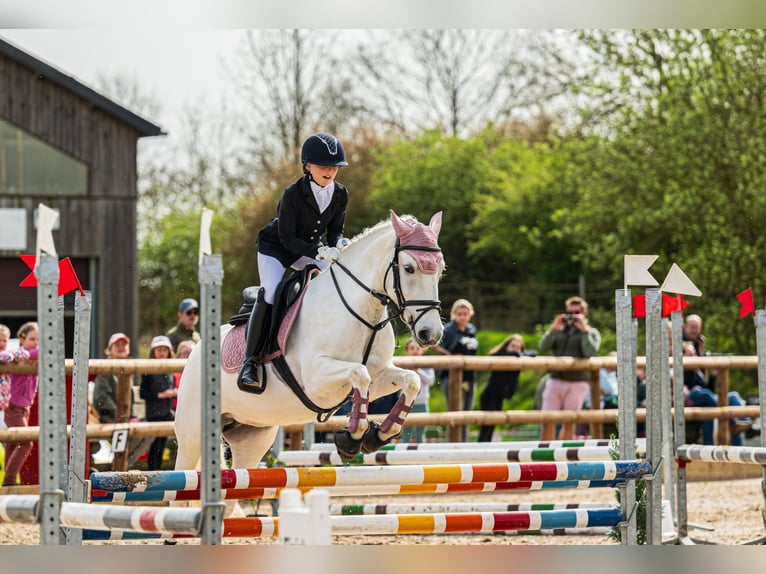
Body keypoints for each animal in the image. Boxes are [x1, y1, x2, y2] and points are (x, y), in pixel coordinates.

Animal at [173, 212, 444, 482]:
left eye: (440, 270)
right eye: (409, 268)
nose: (430, 333)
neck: (362, 311)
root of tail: (197, 351)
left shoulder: (379, 376)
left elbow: (410, 380)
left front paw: (377, 435)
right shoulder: (316, 381)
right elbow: (360, 373)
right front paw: (351, 439)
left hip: (252, 435)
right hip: (192, 436)